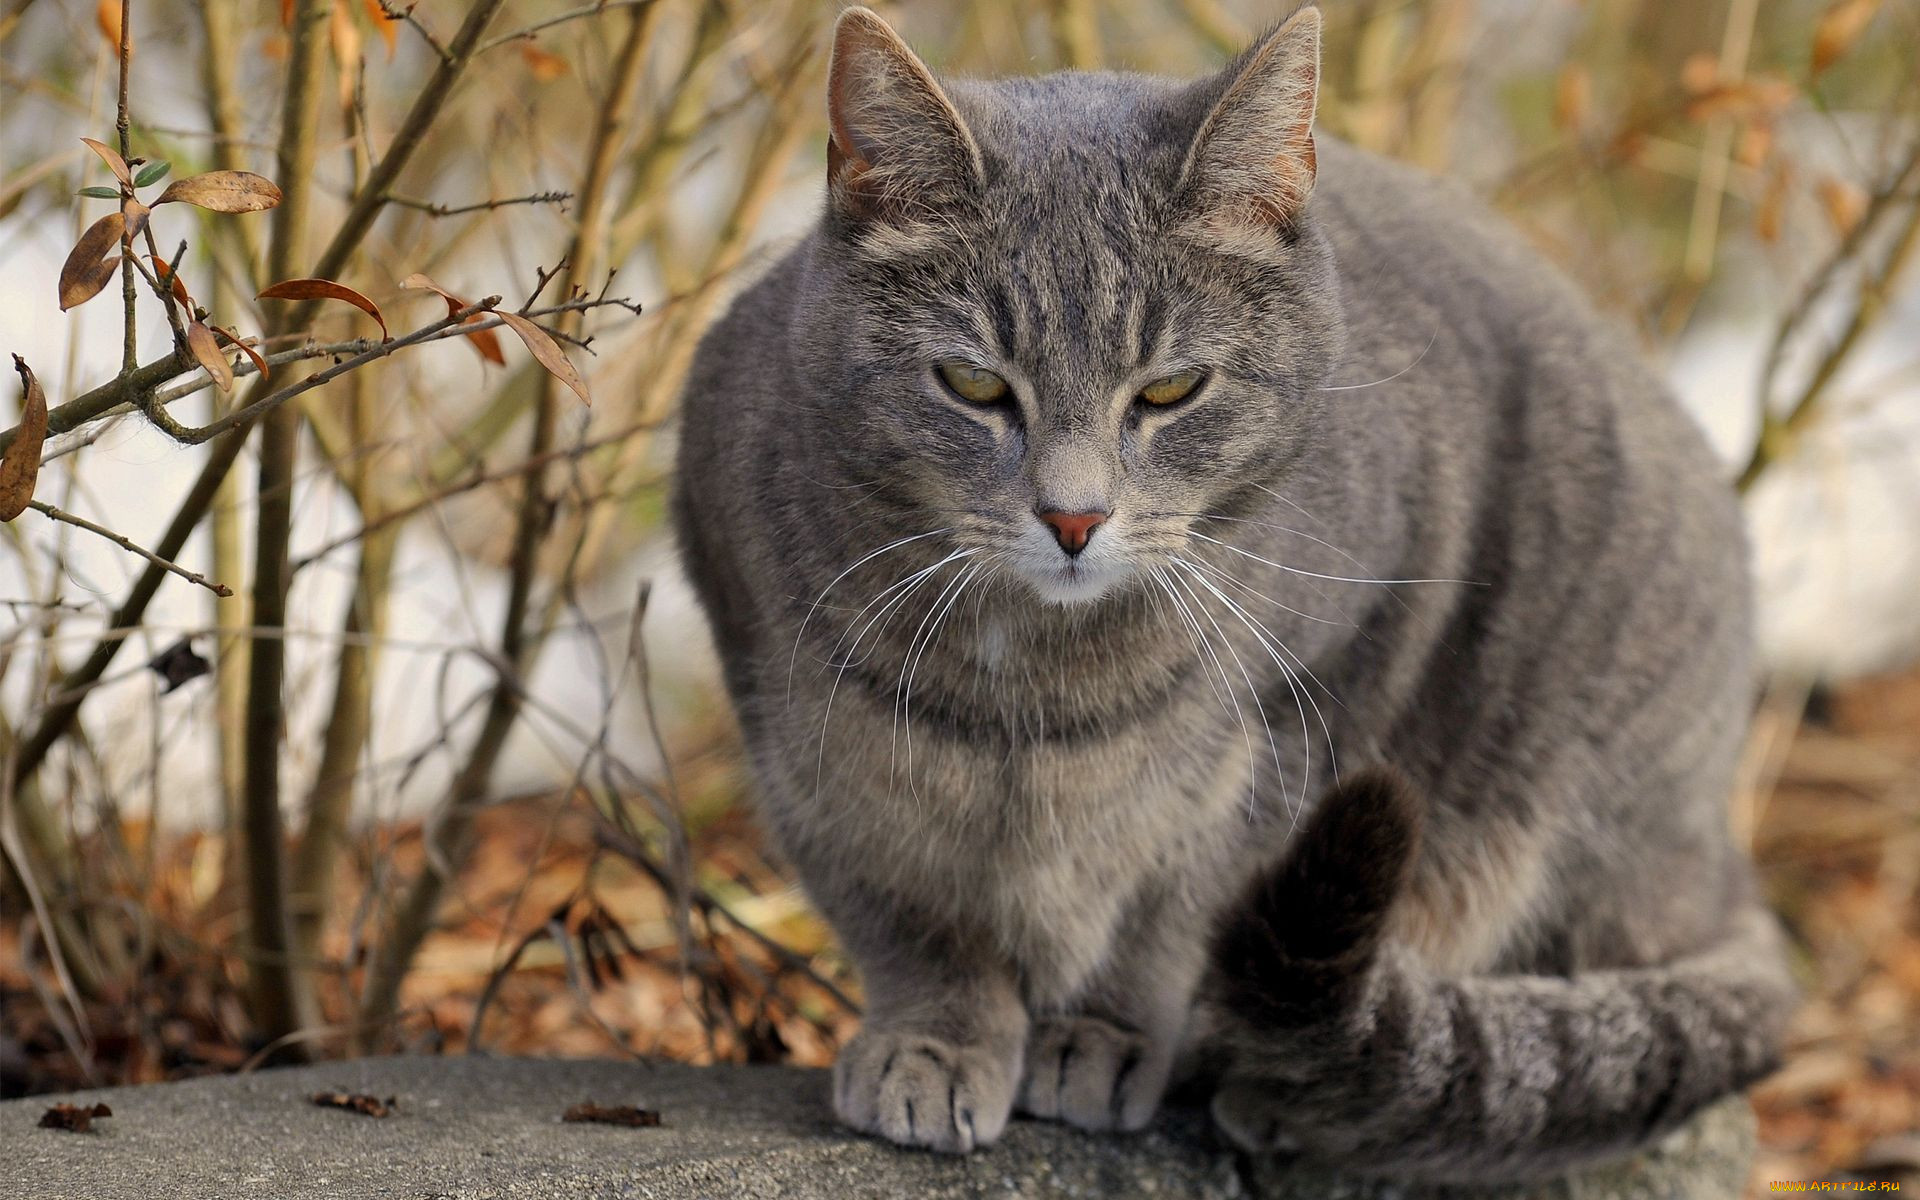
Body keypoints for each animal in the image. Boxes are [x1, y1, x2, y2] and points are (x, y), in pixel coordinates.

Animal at [675, 2, 1797, 1182]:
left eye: (1171, 389)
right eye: (974, 384)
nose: (1072, 518)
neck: (1035, 695)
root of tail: (1718, 847)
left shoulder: (1311, 710)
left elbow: (1173, 919)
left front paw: (1107, 1035)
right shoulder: (803, 745)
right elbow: (906, 922)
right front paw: (933, 1040)